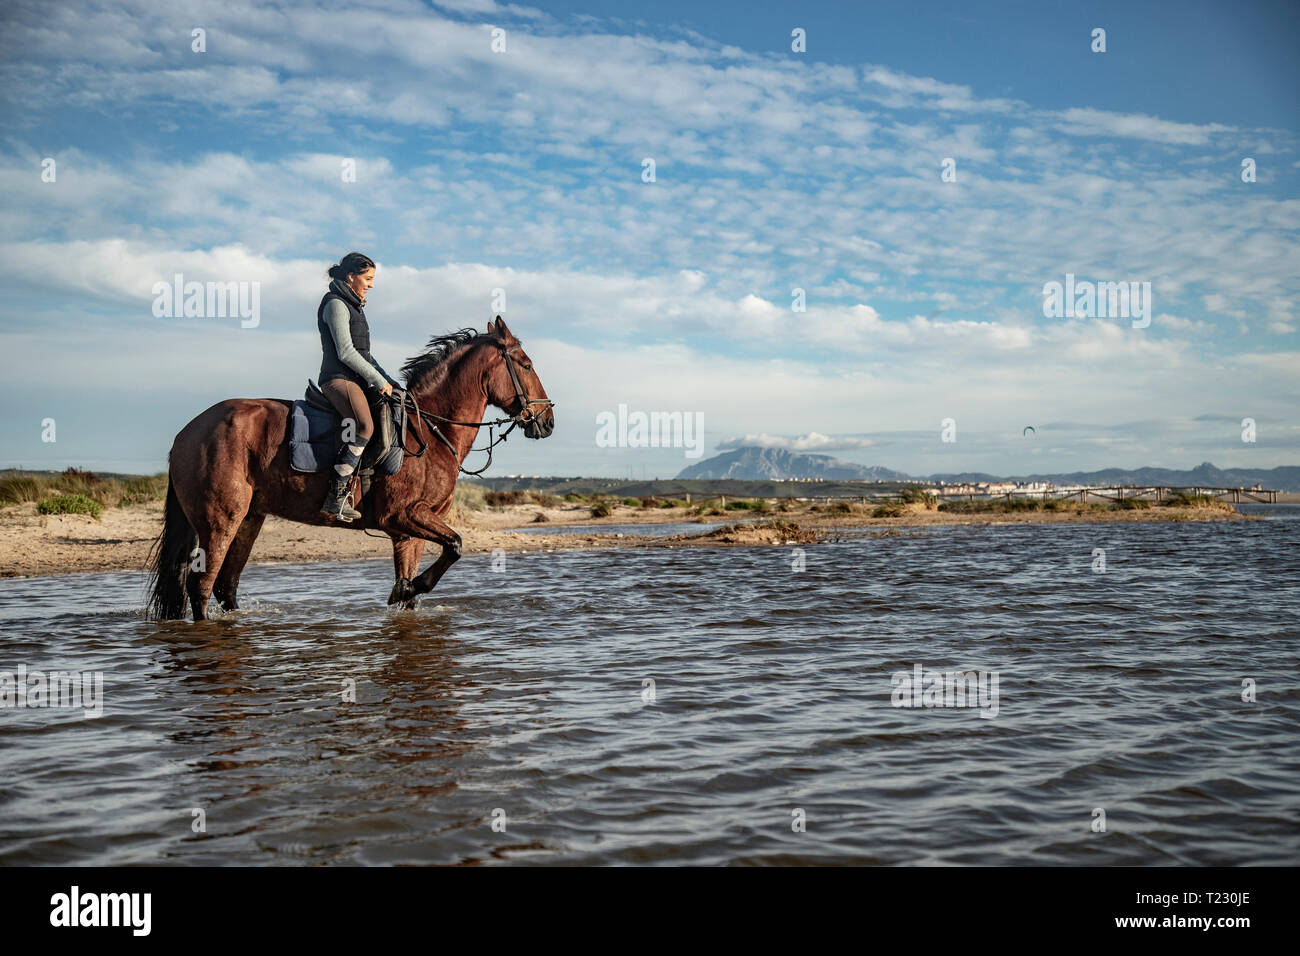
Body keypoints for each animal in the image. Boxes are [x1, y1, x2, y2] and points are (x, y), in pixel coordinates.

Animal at [146, 316, 554, 621]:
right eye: (526, 365)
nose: (548, 421)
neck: (431, 431)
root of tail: (185, 433)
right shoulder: (402, 516)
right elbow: (455, 545)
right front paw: (410, 588)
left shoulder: (409, 531)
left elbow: (414, 586)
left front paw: (406, 590)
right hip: (219, 522)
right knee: (201, 588)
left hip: (249, 518)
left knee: (224, 586)